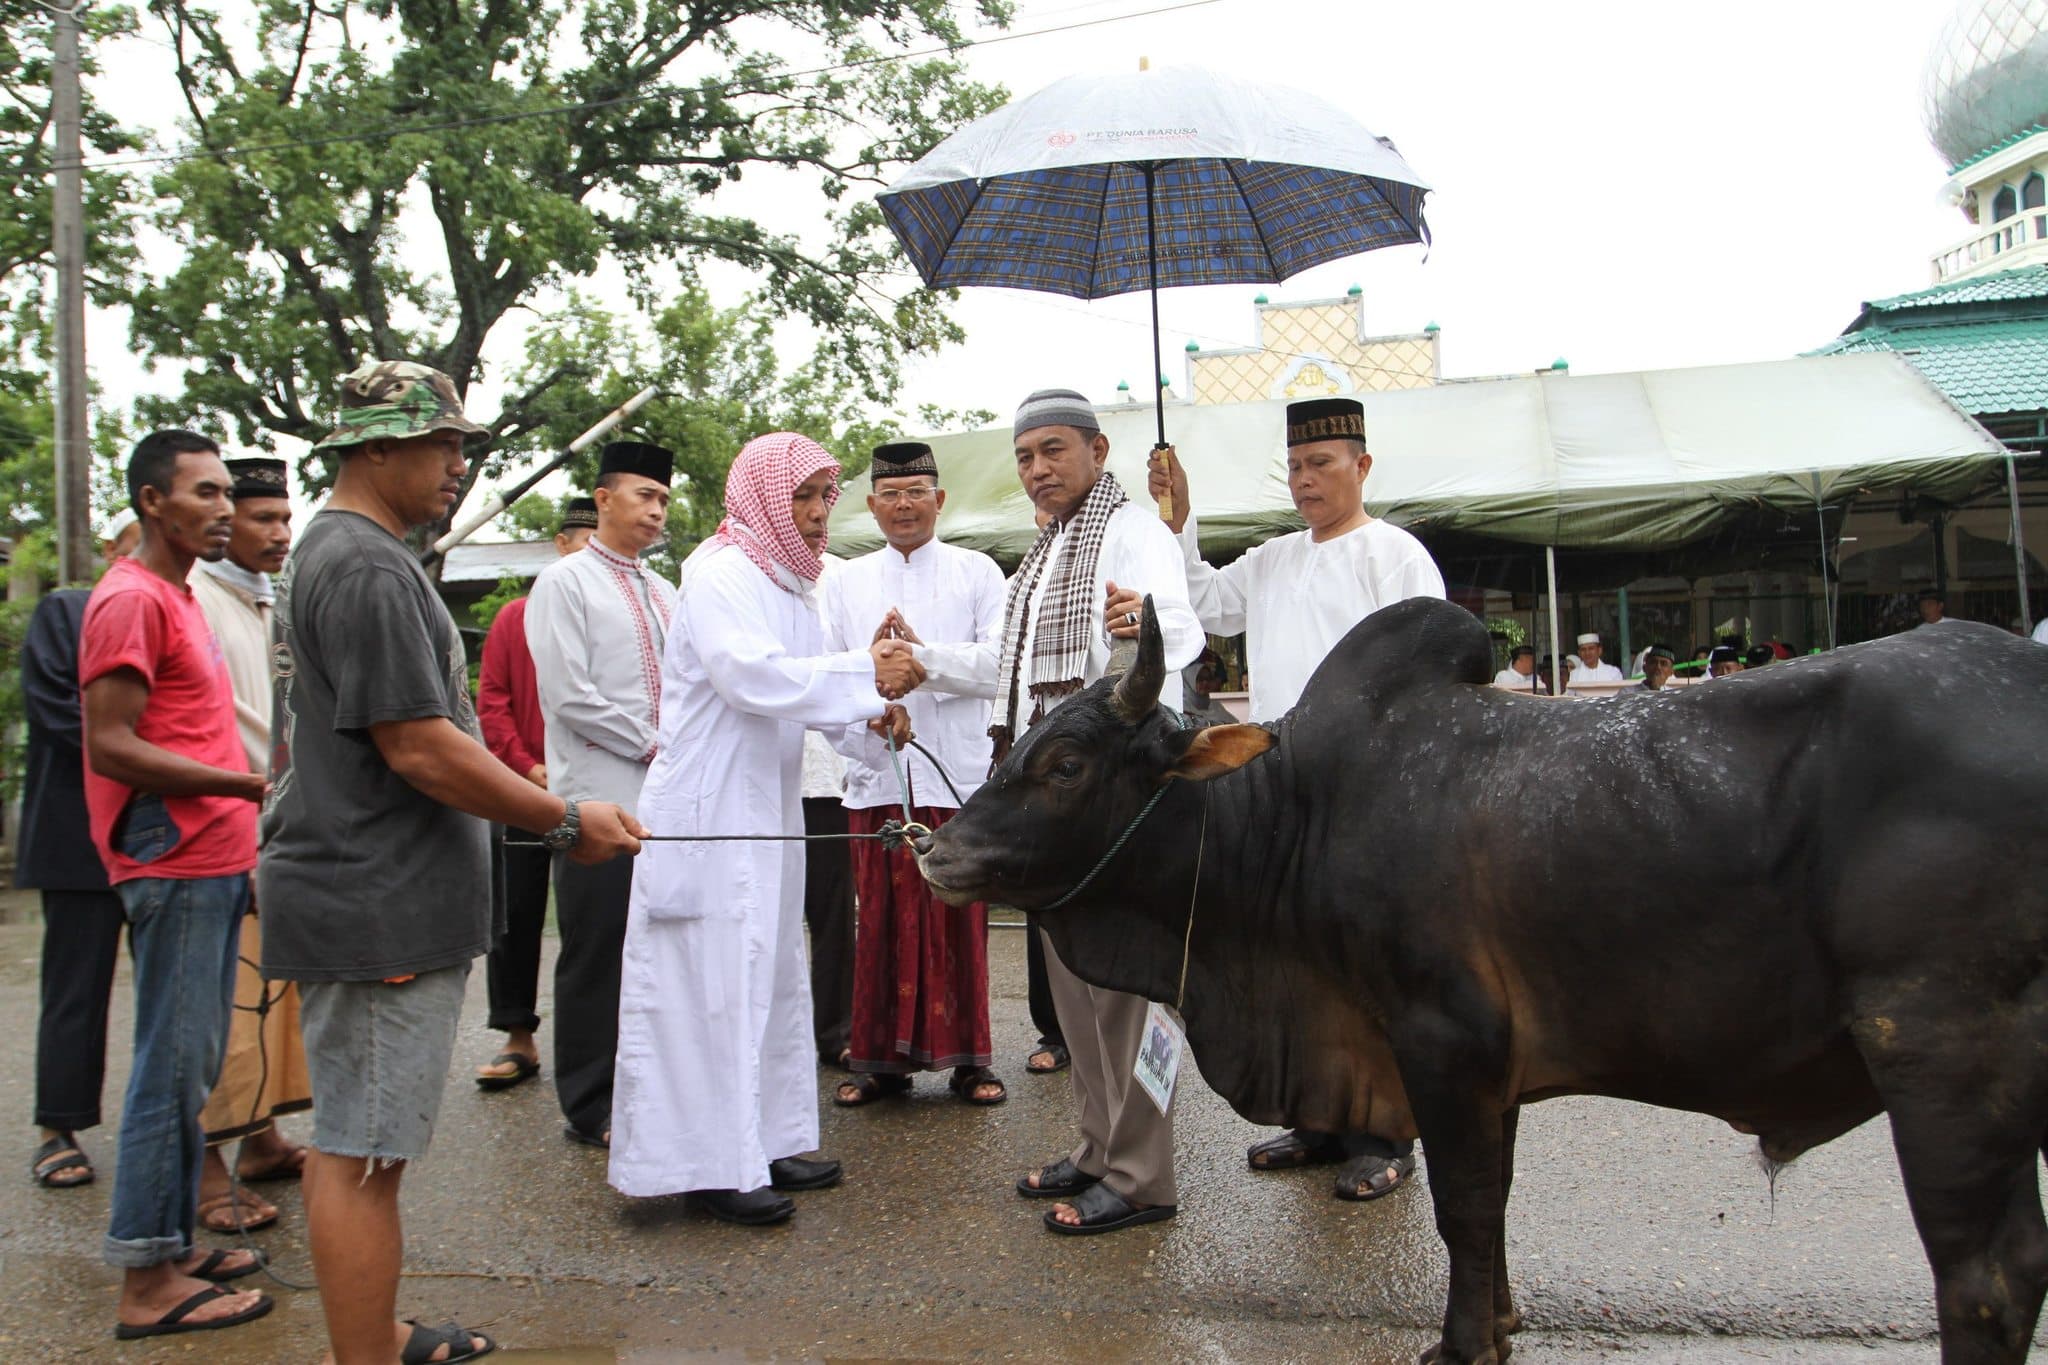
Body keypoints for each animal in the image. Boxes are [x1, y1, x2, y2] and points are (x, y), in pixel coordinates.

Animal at [921, 597, 2048, 1365]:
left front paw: (1463, 1343)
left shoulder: (1442, 1041)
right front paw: (1500, 1318)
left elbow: (1462, 1203)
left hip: (1943, 1054)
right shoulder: (1489, 1067)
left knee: (1985, 1279)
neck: (1298, 816)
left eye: (1064, 763)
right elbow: (1491, 1203)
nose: (936, 852)